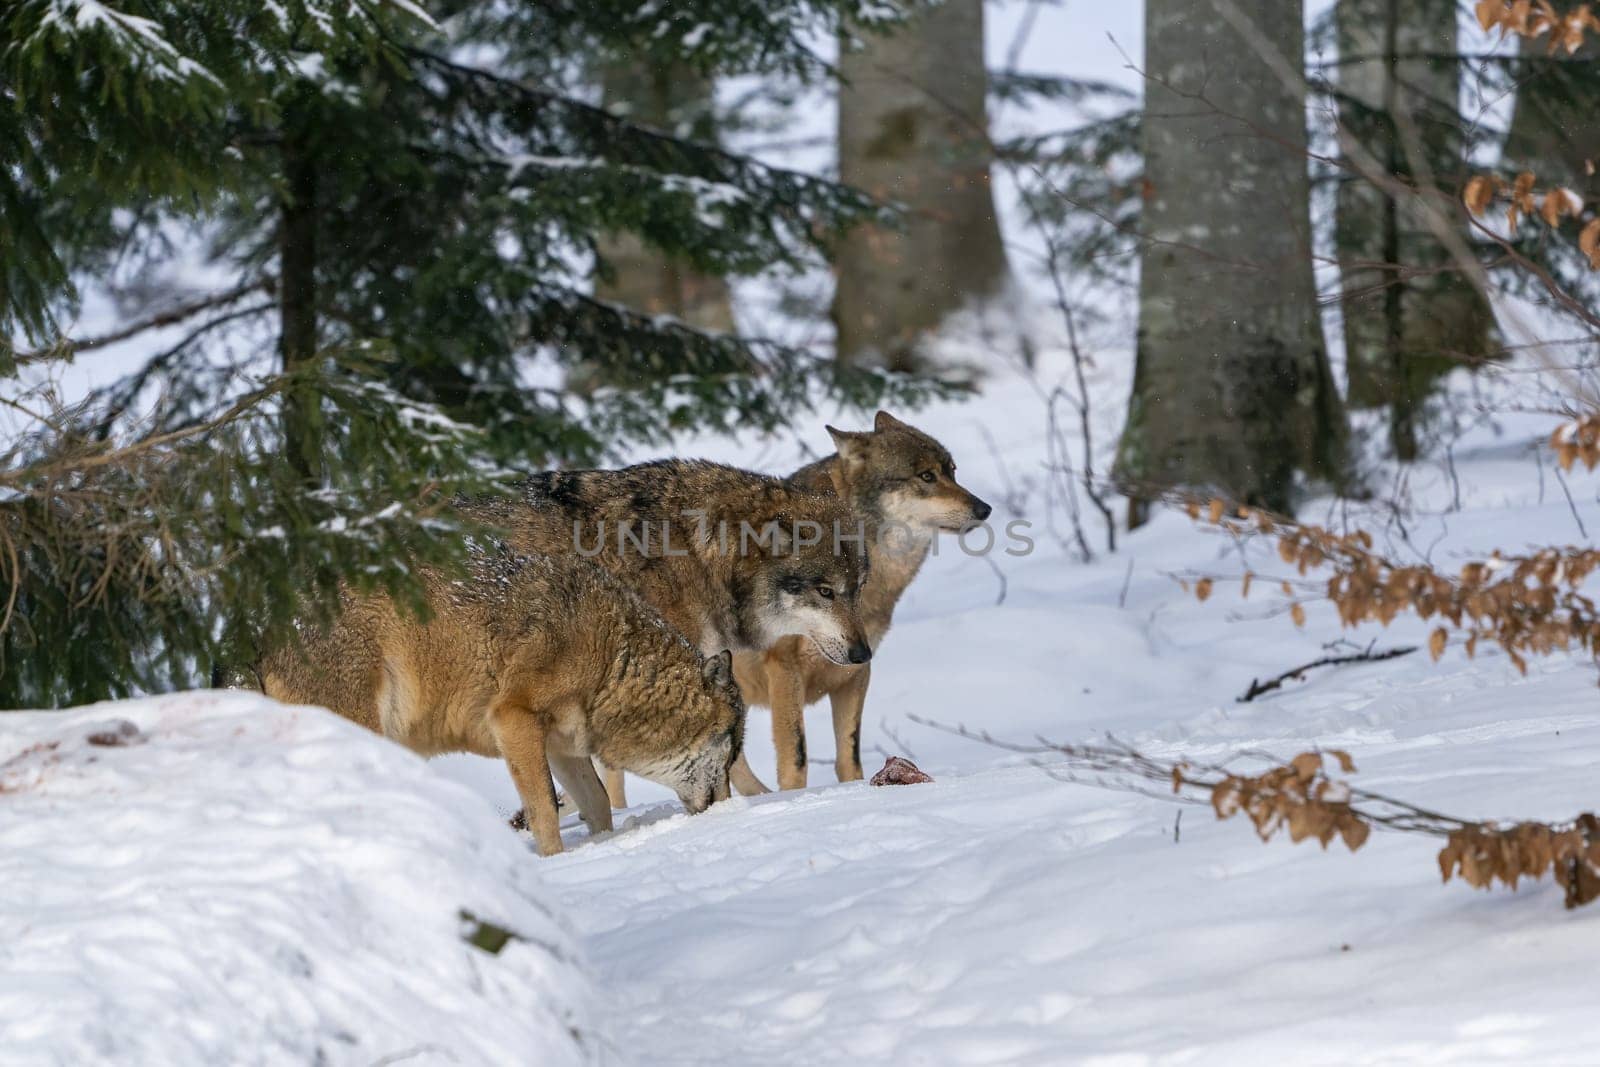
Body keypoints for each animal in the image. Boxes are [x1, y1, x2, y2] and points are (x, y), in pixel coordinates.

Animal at [256, 547, 742, 857]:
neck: (611, 655)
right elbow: (545, 808)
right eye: (730, 750)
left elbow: (598, 803)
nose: (728, 809)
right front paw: (555, 862)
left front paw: (601, 846)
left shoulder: (564, 745)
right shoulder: (513, 719)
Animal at [729, 412, 985, 793]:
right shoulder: (784, 669)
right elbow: (796, 759)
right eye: (926, 476)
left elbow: (849, 757)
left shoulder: (858, 668)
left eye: (952, 471)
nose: (985, 508)